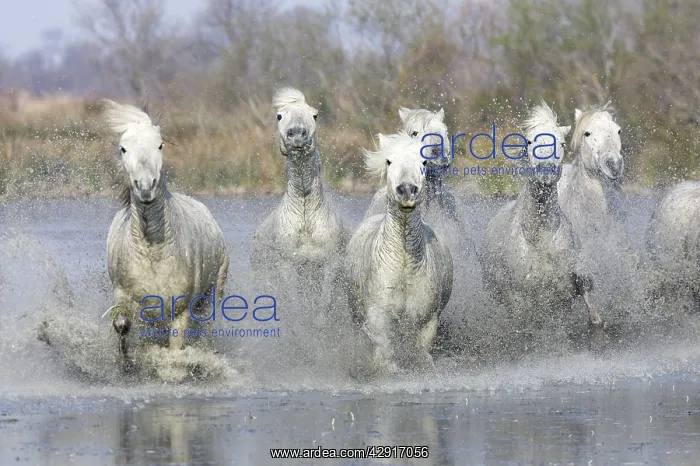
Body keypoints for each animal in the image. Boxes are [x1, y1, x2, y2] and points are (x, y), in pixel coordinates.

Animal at [101, 100, 229, 375]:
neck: (152, 251)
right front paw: (127, 359)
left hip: (213, 292)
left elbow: (175, 350)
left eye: (160, 145)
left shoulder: (180, 311)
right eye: (123, 148)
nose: (145, 187)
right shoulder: (124, 296)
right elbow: (122, 323)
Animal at [343, 132, 454, 377]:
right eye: (389, 161)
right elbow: (383, 346)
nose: (407, 191)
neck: (403, 264)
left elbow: (421, 349)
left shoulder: (428, 318)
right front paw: (386, 367)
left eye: (423, 163)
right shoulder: (377, 313)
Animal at [478, 102, 604, 356]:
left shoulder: (564, 292)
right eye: (529, 142)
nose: (545, 171)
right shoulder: (520, 298)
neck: (538, 238)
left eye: (562, 143)